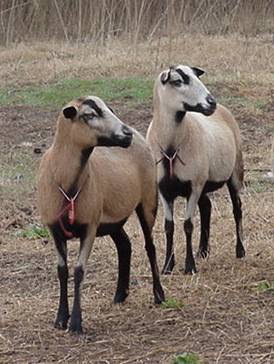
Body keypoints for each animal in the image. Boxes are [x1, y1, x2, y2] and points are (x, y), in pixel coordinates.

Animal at [37, 96, 164, 332]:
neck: (67, 185)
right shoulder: (54, 229)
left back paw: (159, 294)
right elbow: (62, 270)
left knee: (150, 246)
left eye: (110, 110)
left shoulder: (90, 226)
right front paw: (61, 318)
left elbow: (79, 271)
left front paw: (76, 323)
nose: (126, 134)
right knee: (125, 245)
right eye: (89, 115)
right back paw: (120, 295)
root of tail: (140, 136)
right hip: (113, 219)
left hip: (148, 200)